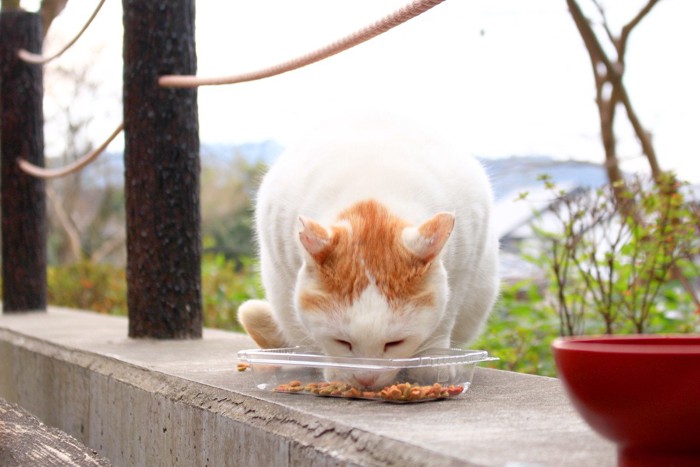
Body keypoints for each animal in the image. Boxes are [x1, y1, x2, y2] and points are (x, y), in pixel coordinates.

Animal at [238, 114, 500, 392]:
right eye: (342, 342)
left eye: (394, 344)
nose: (366, 379)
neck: (372, 191)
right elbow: (308, 335)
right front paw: (332, 368)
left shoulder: (465, 261)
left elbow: (446, 315)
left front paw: (434, 363)